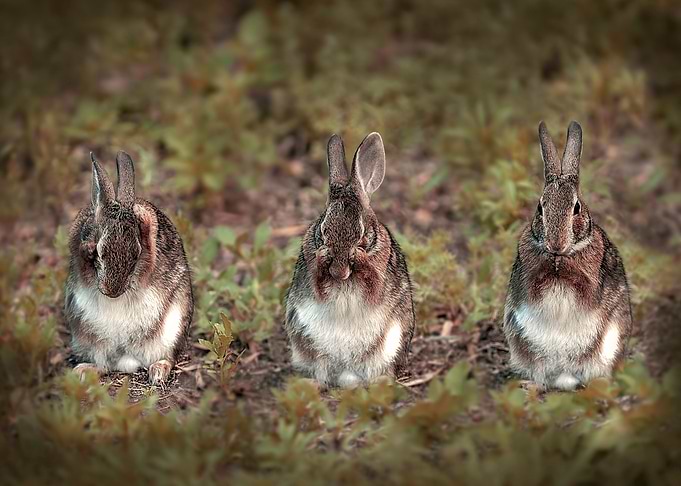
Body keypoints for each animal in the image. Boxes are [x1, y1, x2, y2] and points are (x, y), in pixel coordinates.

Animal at [64, 151, 194, 385]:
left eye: (136, 254)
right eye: (99, 252)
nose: (112, 292)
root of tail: (127, 361)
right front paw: (86, 248)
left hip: (173, 329)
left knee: (168, 357)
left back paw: (158, 371)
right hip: (86, 337)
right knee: (104, 365)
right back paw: (83, 371)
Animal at [285, 132, 416, 389]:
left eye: (363, 234)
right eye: (322, 230)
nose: (339, 272)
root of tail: (345, 374)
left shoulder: (379, 278)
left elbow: (373, 286)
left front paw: (359, 257)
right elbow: (318, 285)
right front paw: (323, 256)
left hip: (388, 347)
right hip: (306, 344)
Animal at [503, 121, 632, 391]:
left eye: (576, 208)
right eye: (540, 207)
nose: (556, 245)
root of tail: (564, 376)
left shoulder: (592, 283)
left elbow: (584, 289)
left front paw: (562, 266)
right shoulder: (526, 280)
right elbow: (535, 284)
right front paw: (551, 264)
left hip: (608, 344)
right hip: (520, 344)